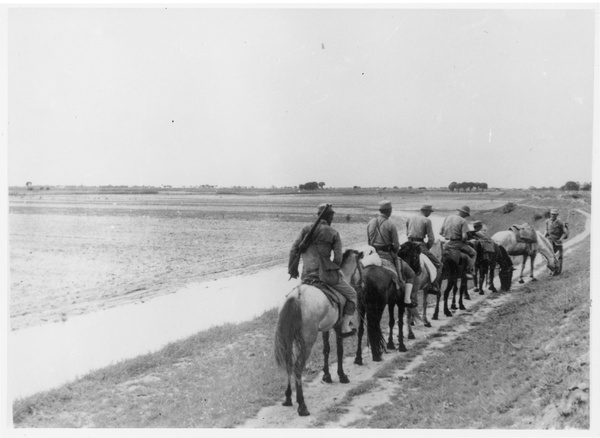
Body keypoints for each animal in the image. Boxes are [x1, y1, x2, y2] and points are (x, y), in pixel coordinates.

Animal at [274, 248, 364, 416]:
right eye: (361, 266)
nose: (362, 286)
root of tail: (296, 297)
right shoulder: (338, 326)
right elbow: (339, 351)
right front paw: (342, 375)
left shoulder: (325, 328)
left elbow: (326, 350)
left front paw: (327, 375)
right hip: (307, 341)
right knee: (297, 367)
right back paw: (302, 404)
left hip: (289, 340)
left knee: (289, 364)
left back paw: (288, 398)